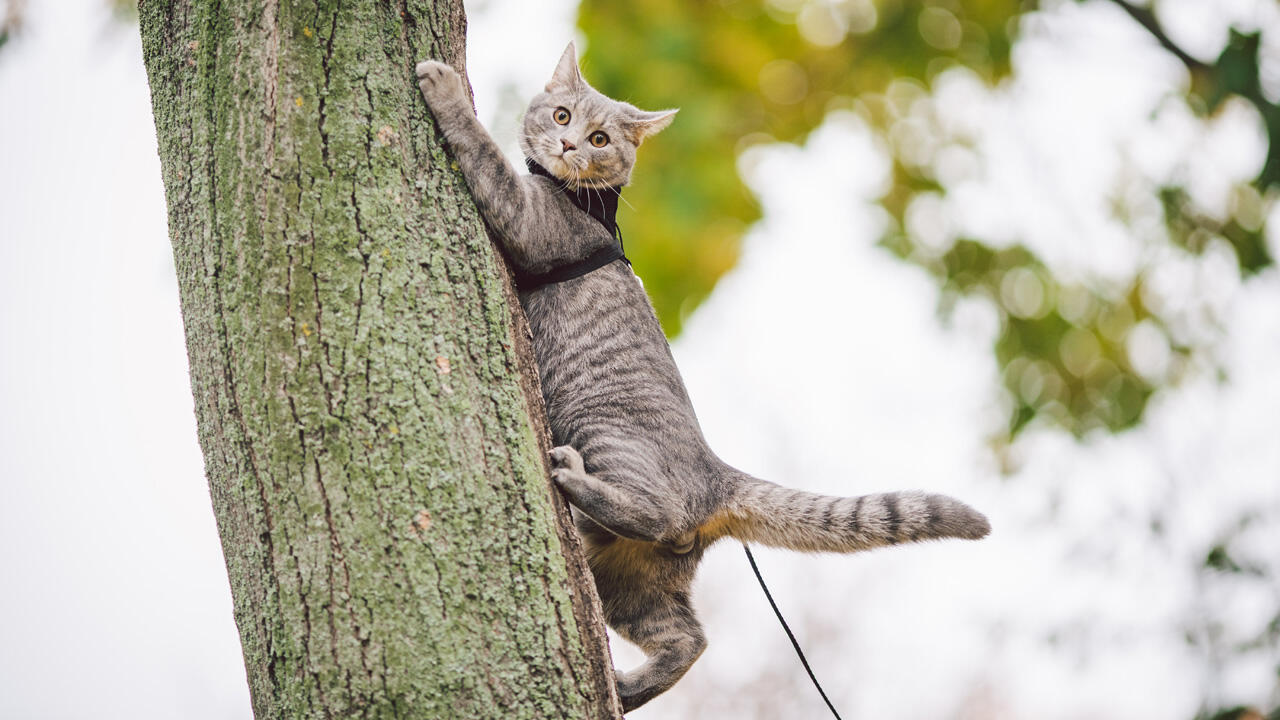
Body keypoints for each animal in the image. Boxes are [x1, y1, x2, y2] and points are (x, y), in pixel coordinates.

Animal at [414, 46, 993, 712]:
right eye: (561, 115)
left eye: (599, 138)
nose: (567, 145)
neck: (580, 198)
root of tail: (716, 475)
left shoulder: (527, 219)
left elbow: (484, 152)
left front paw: (445, 88)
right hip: (631, 582)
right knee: (689, 639)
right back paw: (629, 687)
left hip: (605, 436)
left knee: (659, 516)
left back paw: (573, 477)